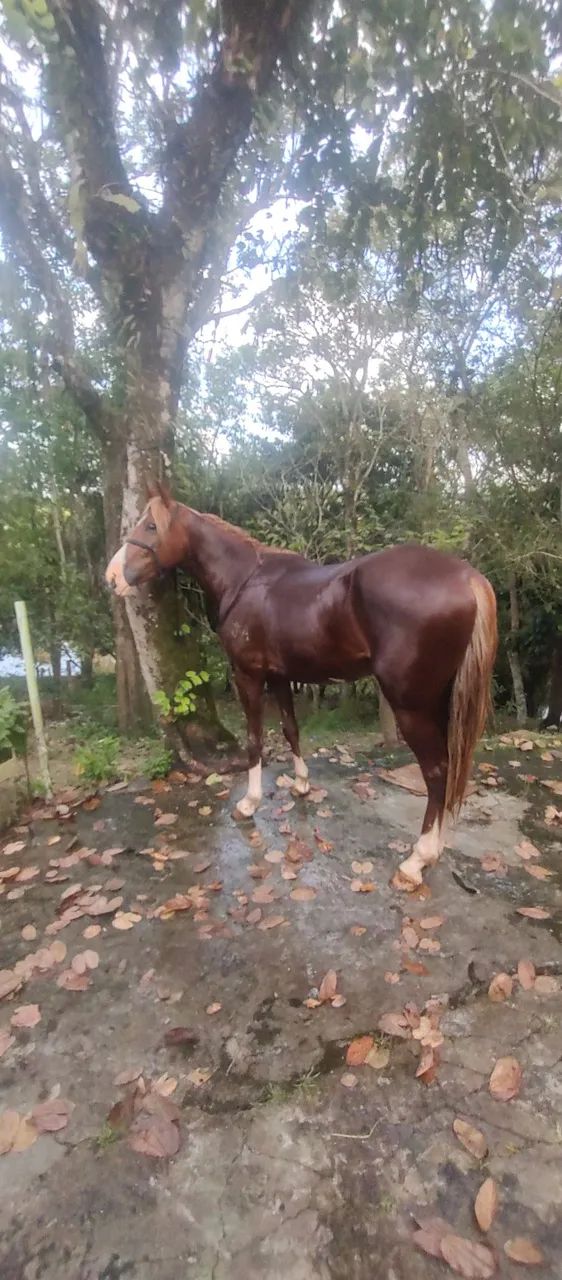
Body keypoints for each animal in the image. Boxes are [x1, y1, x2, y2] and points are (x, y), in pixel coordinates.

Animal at [106, 482, 497, 885]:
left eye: (151, 526)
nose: (112, 576)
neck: (245, 580)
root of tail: (469, 578)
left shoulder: (248, 675)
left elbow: (254, 739)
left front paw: (248, 803)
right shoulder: (279, 677)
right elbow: (291, 729)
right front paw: (301, 784)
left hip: (412, 706)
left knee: (436, 773)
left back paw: (417, 859)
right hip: (439, 702)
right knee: (449, 769)